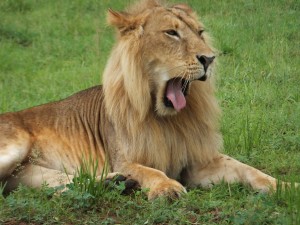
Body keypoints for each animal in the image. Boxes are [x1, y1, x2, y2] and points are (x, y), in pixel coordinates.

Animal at [0, 0, 296, 200]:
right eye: (172, 33)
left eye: (200, 33)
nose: (209, 58)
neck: (167, 120)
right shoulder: (125, 159)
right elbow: (150, 171)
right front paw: (167, 188)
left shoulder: (198, 162)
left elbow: (248, 169)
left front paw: (286, 187)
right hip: (14, 147)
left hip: (27, 172)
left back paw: (113, 184)